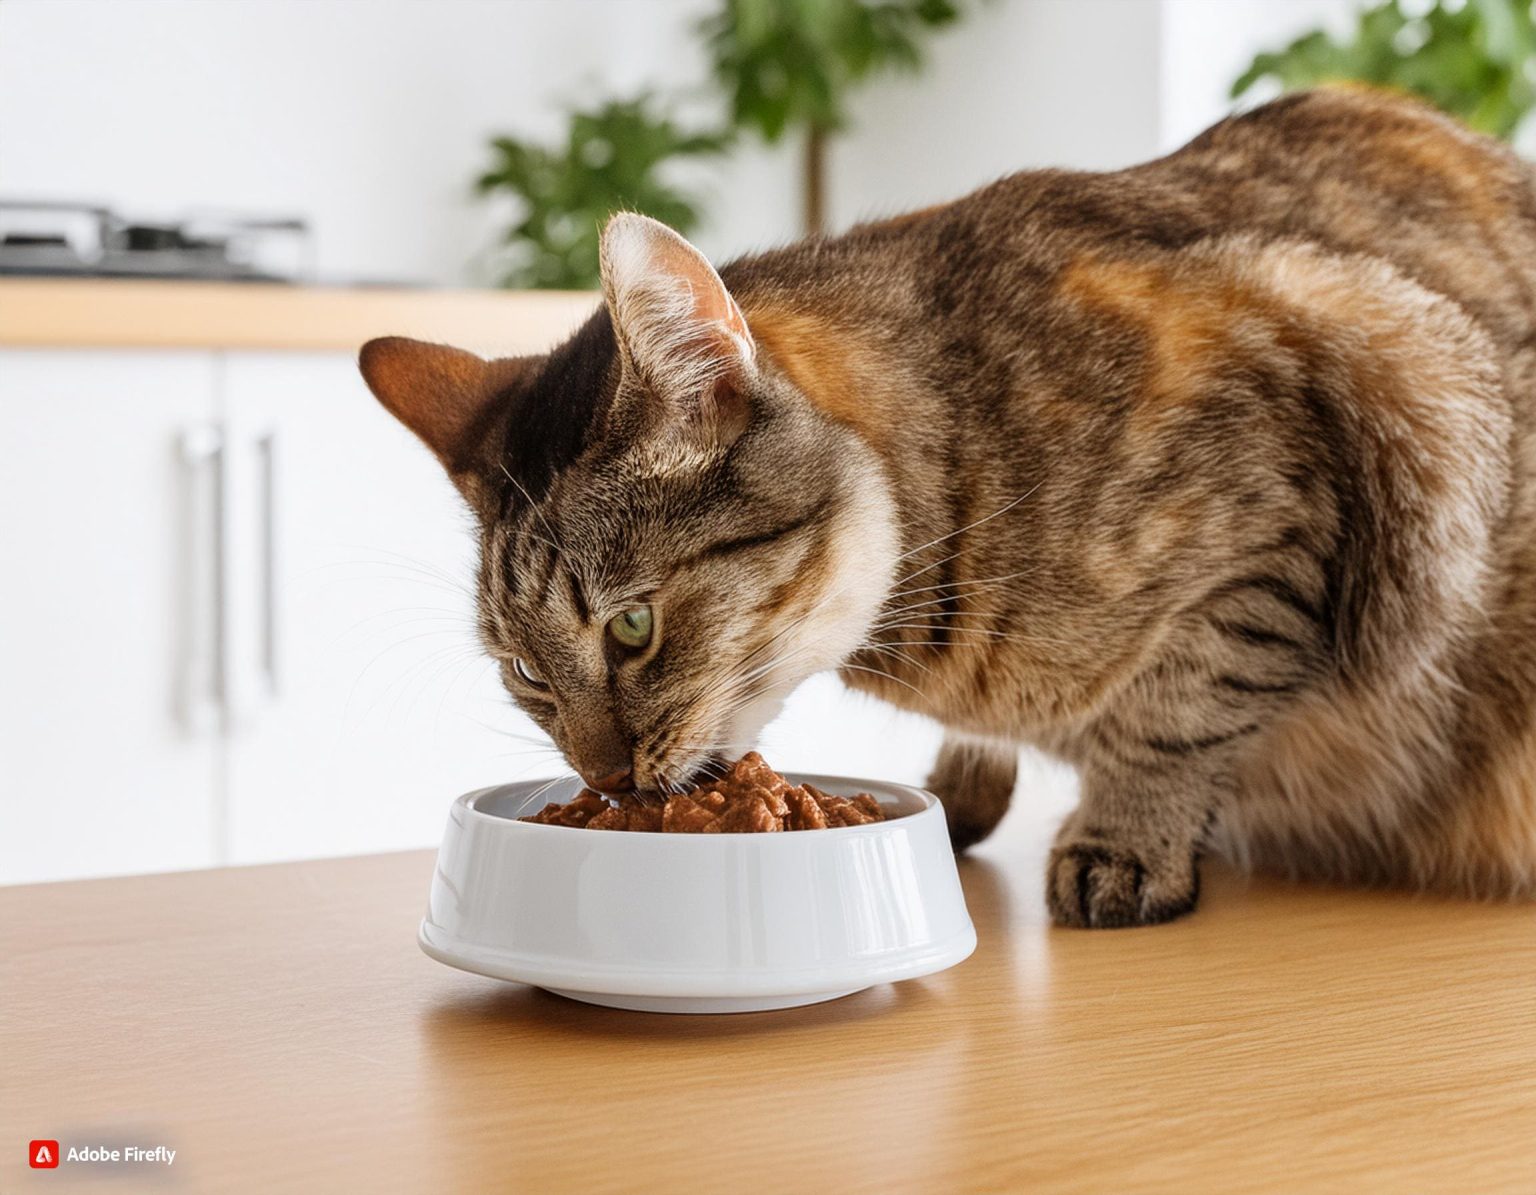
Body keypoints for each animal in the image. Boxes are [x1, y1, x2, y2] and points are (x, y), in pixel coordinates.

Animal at [362, 88, 1536, 927]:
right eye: (525, 671)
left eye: (633, 626)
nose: (604, 780)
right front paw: (963, 791)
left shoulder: (1302, 465)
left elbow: (1182, 703)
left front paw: (1125, 839)